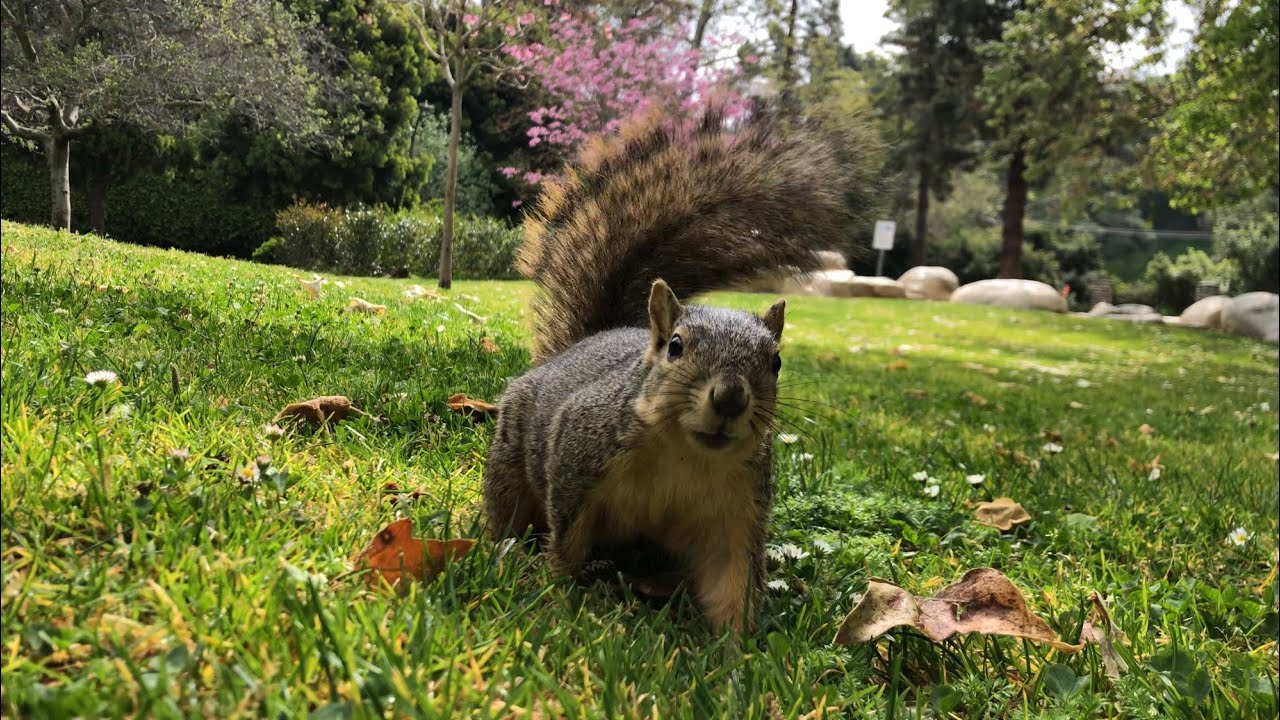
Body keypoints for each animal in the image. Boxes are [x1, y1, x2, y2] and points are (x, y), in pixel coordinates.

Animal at [482, 106, 861, 632]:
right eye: (676, 346)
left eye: (777, 361)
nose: (730, 398)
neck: (685, 453)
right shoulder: (579, 457)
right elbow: (568, 536)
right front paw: (556, 593)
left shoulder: (736, 512)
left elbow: (732, 580)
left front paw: (739, 646)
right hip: (510, 459)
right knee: (510, 507)